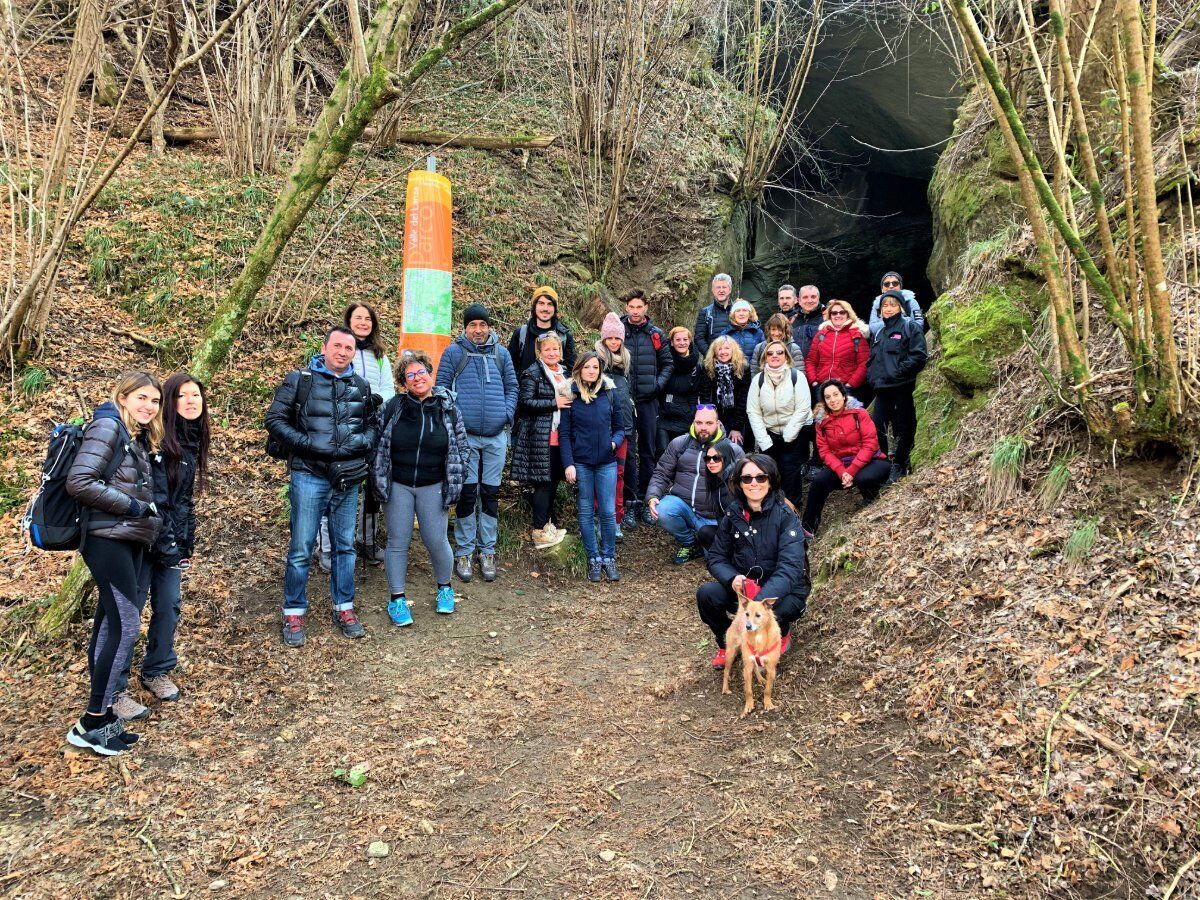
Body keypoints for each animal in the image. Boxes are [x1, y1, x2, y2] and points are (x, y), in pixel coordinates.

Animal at [715, 588, 782, 724]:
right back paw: (725, 688)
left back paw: (760, 679)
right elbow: (748, 691)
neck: (758, 635)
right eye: (747, 614)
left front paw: (768, 703)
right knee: (726, 671)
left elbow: (768, 689)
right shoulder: (746, 669)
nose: (748, 626)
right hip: (731, 653)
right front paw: (749, 706)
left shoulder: (771, 668)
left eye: (758, 615)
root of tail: (739, 612)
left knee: (756, 668)